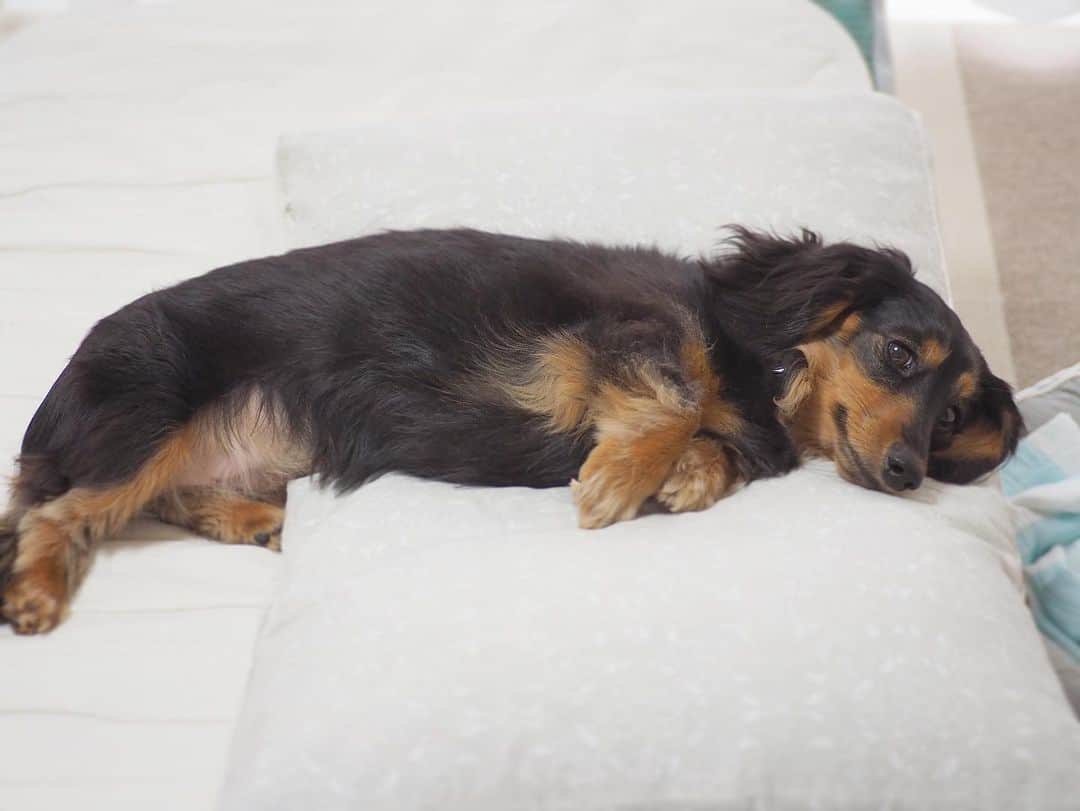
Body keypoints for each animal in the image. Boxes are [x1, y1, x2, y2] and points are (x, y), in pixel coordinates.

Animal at [0, 227, 1021, 633]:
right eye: (899, 352)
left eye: (954, 414)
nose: (906, 469)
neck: (762, 360)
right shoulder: (613, 334)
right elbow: (676, 397)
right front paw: (621, 479)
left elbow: (710, 438)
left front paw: (688, 475)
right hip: (148, 413)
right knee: (59, 511)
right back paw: (37, 593)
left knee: (134, 502)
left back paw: (257, 520)